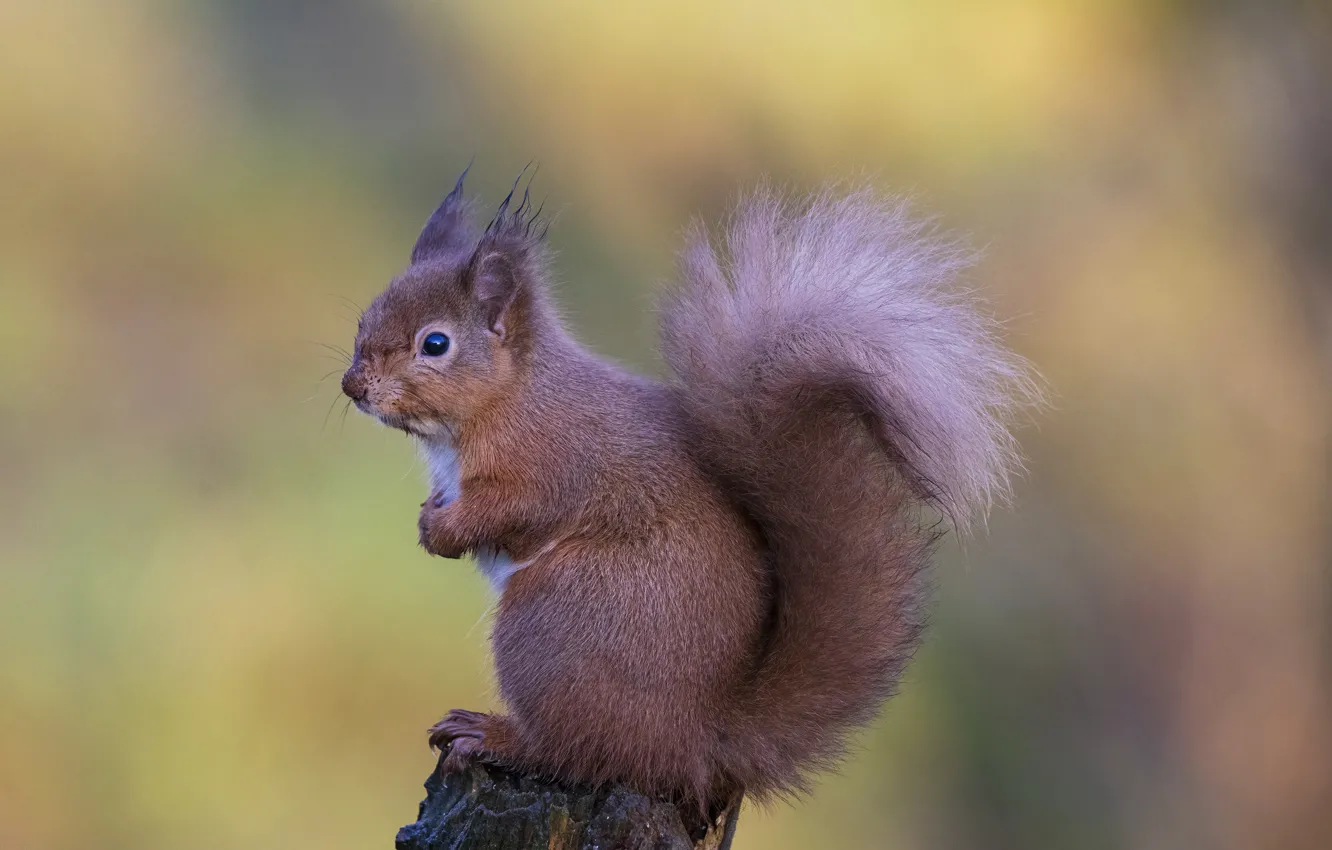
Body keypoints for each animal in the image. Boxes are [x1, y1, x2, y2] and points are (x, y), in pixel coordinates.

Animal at [338, 167, 1033, 810]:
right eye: (365, 318)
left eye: (435, 344)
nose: (353, 386)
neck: (506, 399)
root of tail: (695, 741)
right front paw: (430, 517)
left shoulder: (550, 460)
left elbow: (515, 509)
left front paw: (442, 531)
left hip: (559, 619)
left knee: (577, 752)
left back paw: (493, 735)